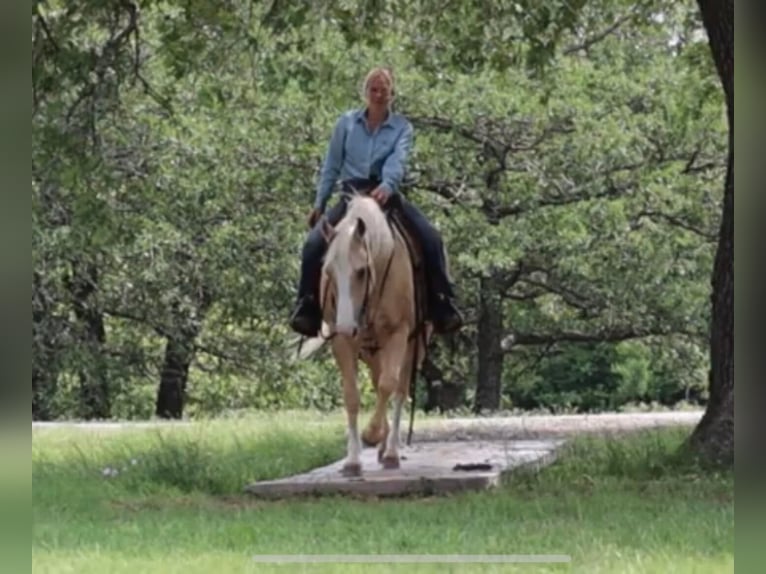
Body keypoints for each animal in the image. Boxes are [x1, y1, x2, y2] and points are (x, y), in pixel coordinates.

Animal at [300, 194, 432, 476]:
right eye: (327, 270)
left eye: (361, 271)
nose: (347, 325)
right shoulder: (342, 341)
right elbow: (352, 395)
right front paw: (353, 461)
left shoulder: (398, 335)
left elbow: (389, 385)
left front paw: (372, 434)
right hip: (371, 350)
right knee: (377, 379)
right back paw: (382, 447)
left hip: (411, 347)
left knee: (399, 389)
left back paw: (390, 452)